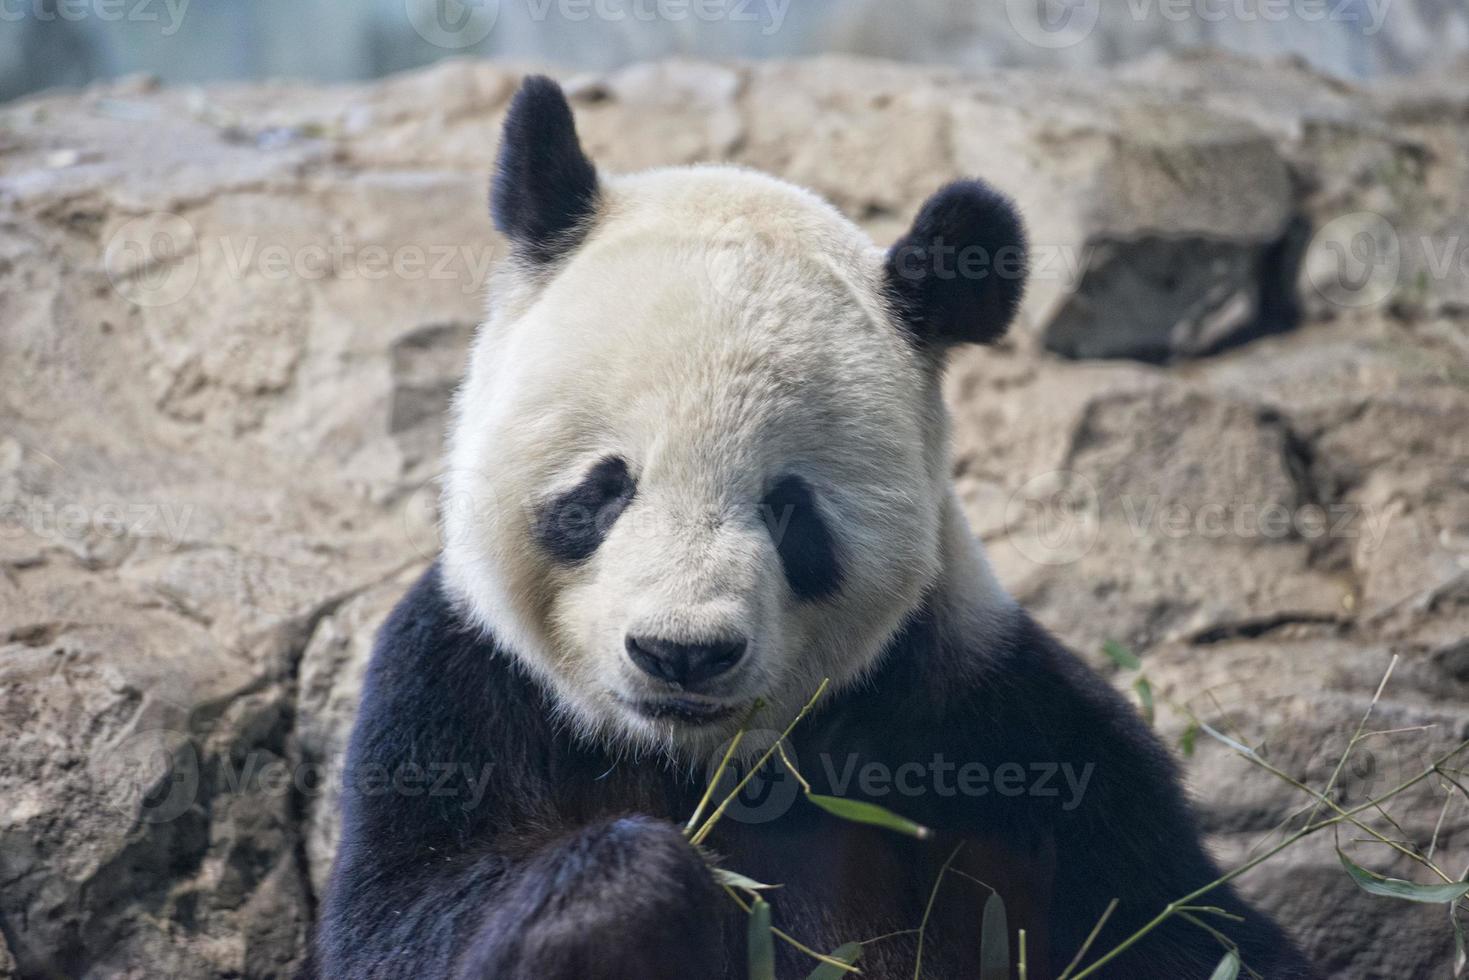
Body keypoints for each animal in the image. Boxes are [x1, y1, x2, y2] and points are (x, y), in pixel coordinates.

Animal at [312, 78, 1322, 980]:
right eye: (604, 489)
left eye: (788, 507)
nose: (681, 653)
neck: (701, 760)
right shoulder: (459, 695)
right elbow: (399, 927)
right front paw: (627, 896)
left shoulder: (1000, 732)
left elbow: (1183, 930)